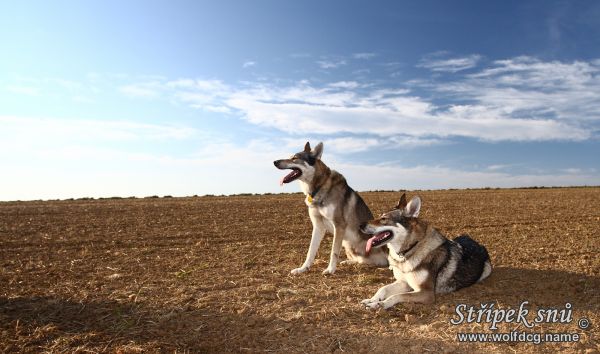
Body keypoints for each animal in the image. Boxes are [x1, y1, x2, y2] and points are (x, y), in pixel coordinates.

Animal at [274, 141, 386, 274]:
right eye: (291, 156)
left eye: (294, 158)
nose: (275, 162)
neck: (319, 186)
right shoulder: (318, 226)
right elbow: (310, 251)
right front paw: (303, 268)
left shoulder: (339, 226)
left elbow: (334, 251)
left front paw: (330, 270)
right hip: (347, 244)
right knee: (360, 259)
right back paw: (348, 262)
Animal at [358, 194, 490, 310]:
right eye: (379, 216)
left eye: (384, 219)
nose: (360, 225)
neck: (409, 250)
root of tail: (477, 243)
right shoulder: (404, 282)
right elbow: (383, 289)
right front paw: (372, 300)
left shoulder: (426, 293)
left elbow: (397, 296)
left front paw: (381, 304)